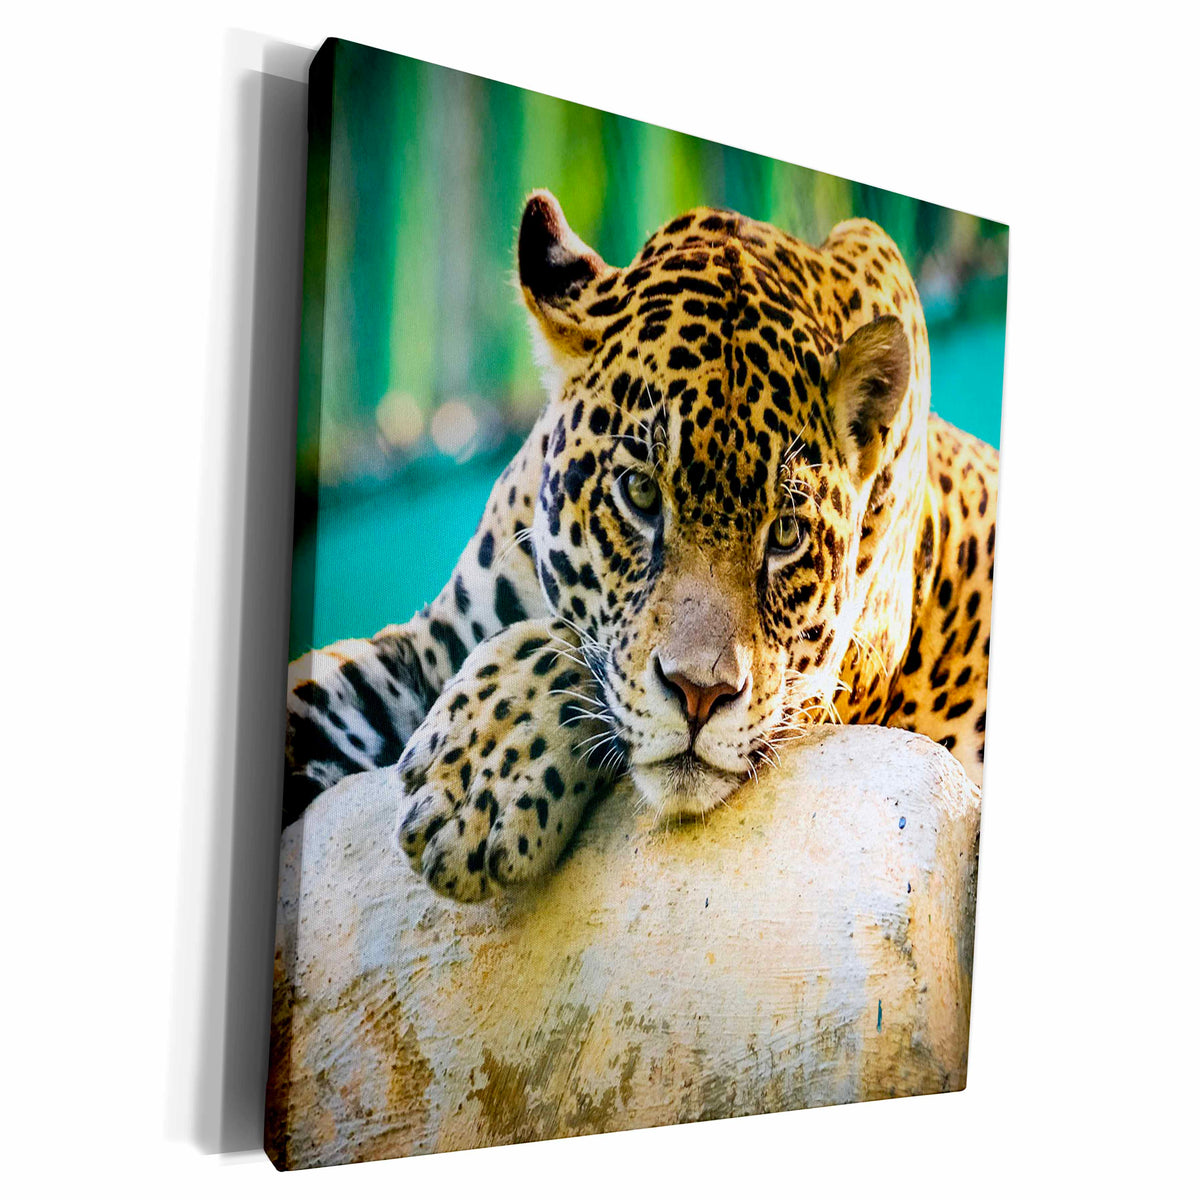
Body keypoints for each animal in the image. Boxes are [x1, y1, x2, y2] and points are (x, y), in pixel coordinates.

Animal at [283, 189, 999, 902]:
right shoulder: (427, 647)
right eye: (641, 493)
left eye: (786, 534)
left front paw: (481, 773)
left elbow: (573, 648)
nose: (701, 695)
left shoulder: (826, 679)